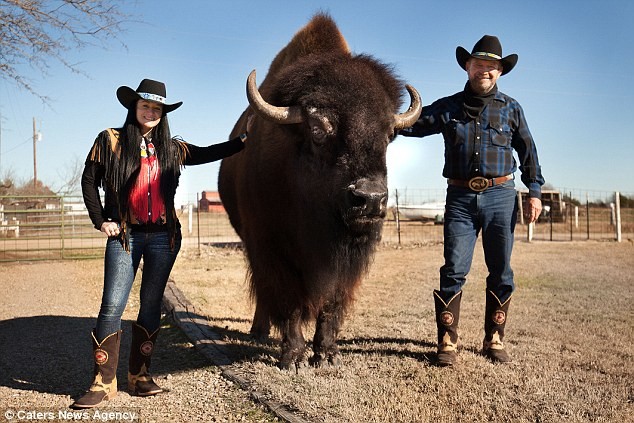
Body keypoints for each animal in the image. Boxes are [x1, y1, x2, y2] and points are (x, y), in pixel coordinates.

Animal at [217, 14, 420, 372]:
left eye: (389, 134)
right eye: (317, 128)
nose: (369, 199)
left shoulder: (348, 258)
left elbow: (332, 301)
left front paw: (326, 354)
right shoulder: (270, 247)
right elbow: (287, 300)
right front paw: (294, 357)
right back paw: (259, 331)